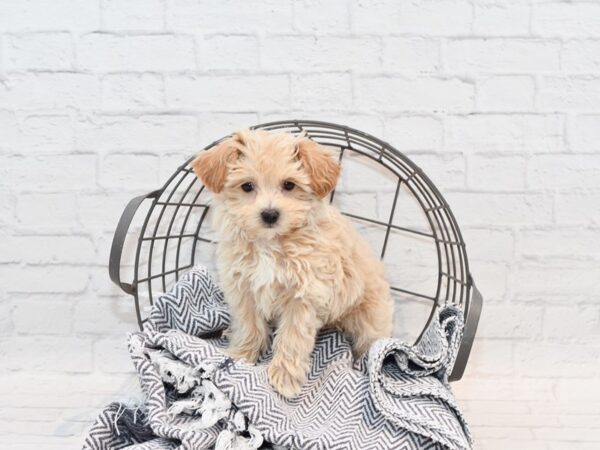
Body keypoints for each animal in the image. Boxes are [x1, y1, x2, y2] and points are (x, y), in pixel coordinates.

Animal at [192, 129, 396, 398]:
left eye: (289, 185)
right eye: (247, 186)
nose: (269, 214)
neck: (270, 244)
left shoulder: (303, 297)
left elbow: (292, 338)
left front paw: (284, 379)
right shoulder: (243, 289)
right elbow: (249, 326)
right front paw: (241, 354)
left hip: (369, 320)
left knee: (370, 344)